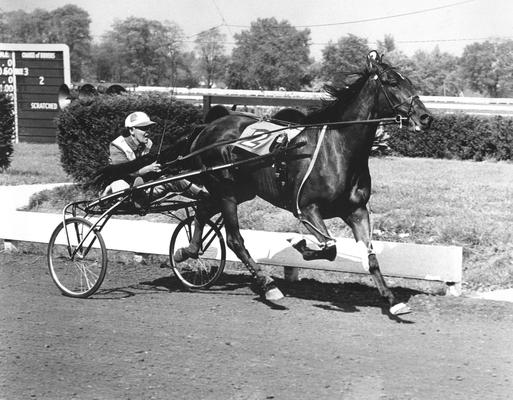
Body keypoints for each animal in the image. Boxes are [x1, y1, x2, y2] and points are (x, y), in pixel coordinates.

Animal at [172, 50, 432, 314]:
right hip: (225, 191)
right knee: (234, 239)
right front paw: (297, 241)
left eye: (410, 82)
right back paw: (268, 284)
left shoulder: (356, 210)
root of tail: (208, 127)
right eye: (392, 82)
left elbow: (369, 256)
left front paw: (392, 300)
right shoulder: (307, 208)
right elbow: (330, 248)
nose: (425, 117)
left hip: (240, 190)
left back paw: (186, 251)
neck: (337, 149)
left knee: (202, 211)